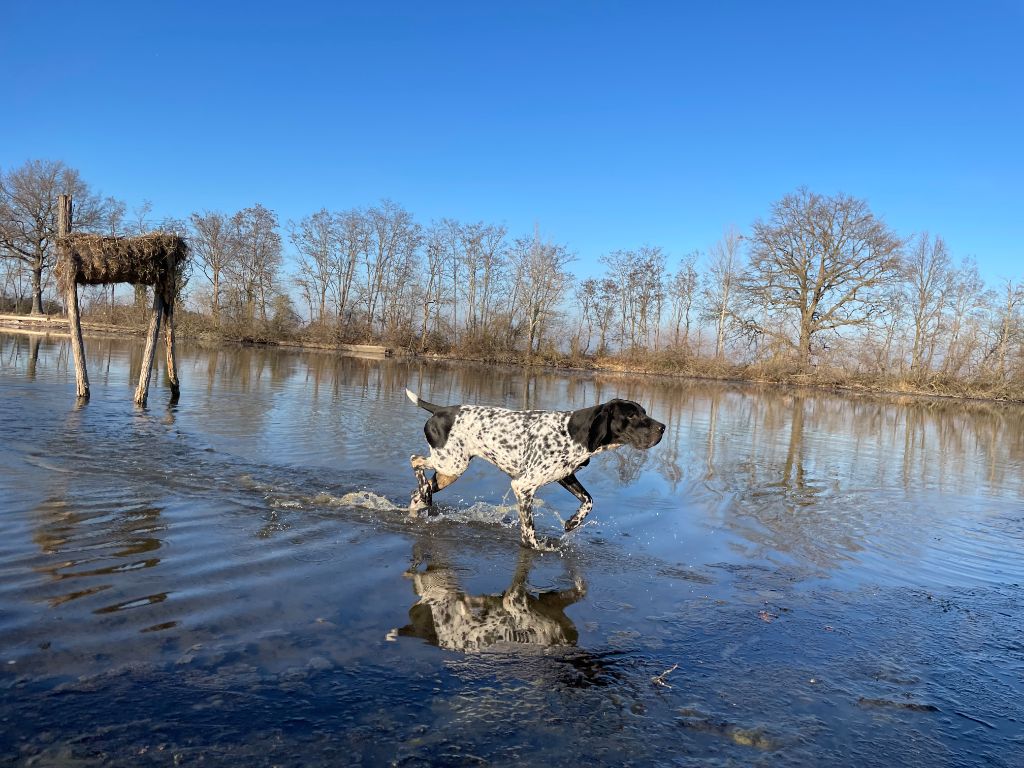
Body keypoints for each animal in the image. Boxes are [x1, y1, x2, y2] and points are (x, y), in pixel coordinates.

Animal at [403, 393, 667, 548]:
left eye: (644, 412)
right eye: (632, 415)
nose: (663, 427)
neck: (575, 431)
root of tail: (439, 410)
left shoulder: (565, 476)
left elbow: (589, 501)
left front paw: (572, 523)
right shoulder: (524, 486)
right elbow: (529, 528)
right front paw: (534, 546)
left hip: (449, 472)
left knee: (417, 493)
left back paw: (423, 496)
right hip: (451, 463)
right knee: (415, 460)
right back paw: (424, 490)